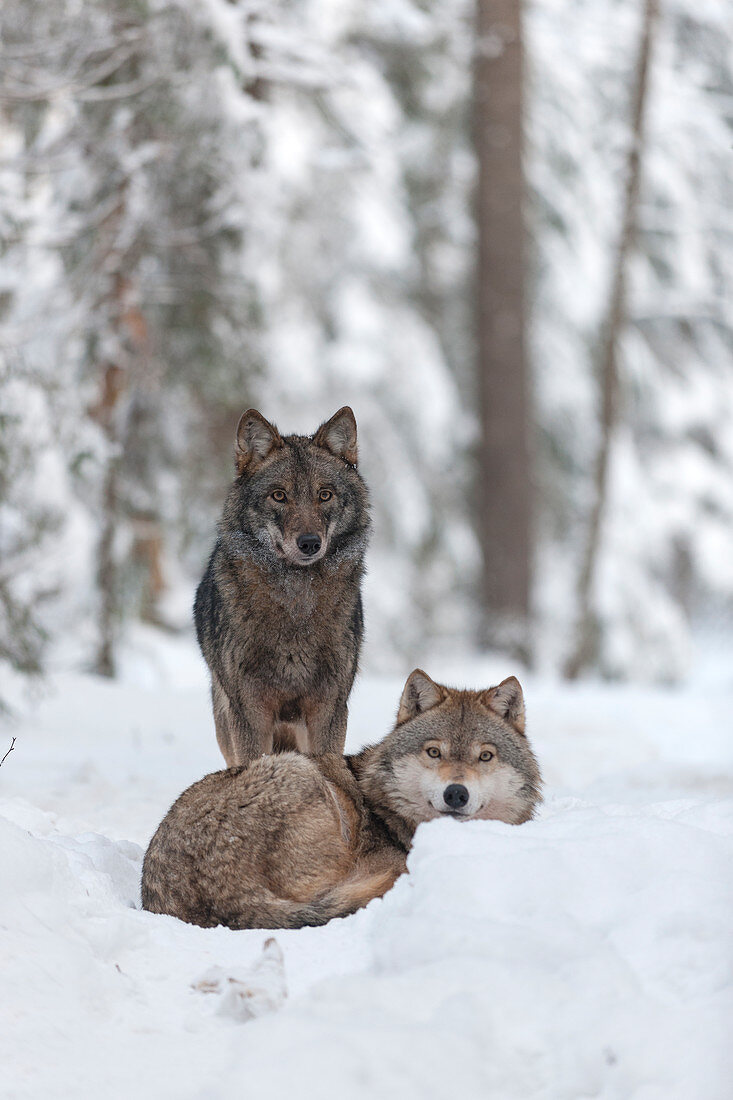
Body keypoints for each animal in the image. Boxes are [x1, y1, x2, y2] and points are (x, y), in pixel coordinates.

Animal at [192, 404, 367, 765]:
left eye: (324, 495)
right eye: (279, 495)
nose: (310, 543)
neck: (296, 605)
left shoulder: (329, 709)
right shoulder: (249, 711)